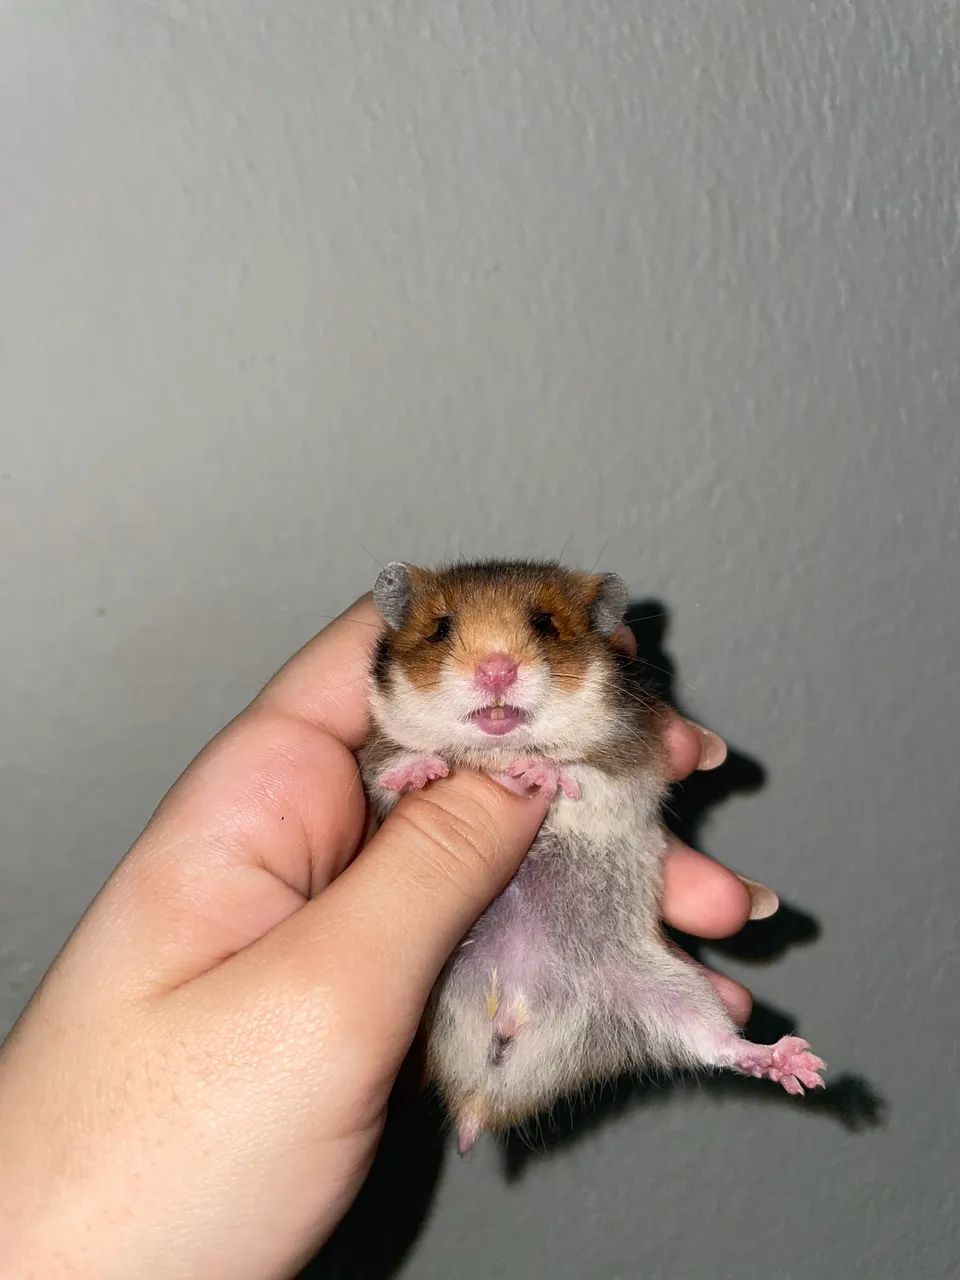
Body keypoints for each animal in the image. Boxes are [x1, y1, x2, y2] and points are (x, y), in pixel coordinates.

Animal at [359, 559, 825, 1153]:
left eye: (546, 625)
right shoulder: (370, 766)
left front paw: (536, 772)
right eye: (440, 628)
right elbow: (387, 770)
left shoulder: (633, 763)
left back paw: (799, 1066)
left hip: (667, 988)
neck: (499, 747)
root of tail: (484, 1092)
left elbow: (586, 774)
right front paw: (427, 770)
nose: (496, 670)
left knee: (716, 1043)